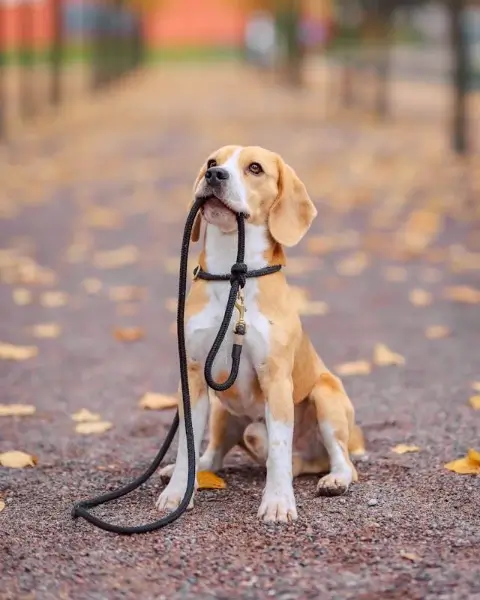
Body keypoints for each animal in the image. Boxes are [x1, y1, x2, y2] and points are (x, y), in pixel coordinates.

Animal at [158, 145, 360, 520]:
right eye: (212, 163)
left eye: (255, 168)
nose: (215, 175)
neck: (232, 277)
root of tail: (308, 461)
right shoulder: (192, 376)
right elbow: (186, 445)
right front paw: (178, 492)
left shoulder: (276, 379)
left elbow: (279, 449)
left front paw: (278, 501)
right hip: (223, 413)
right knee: (213, 455)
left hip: (326, 398)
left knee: (341, 461)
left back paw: (334, 479)